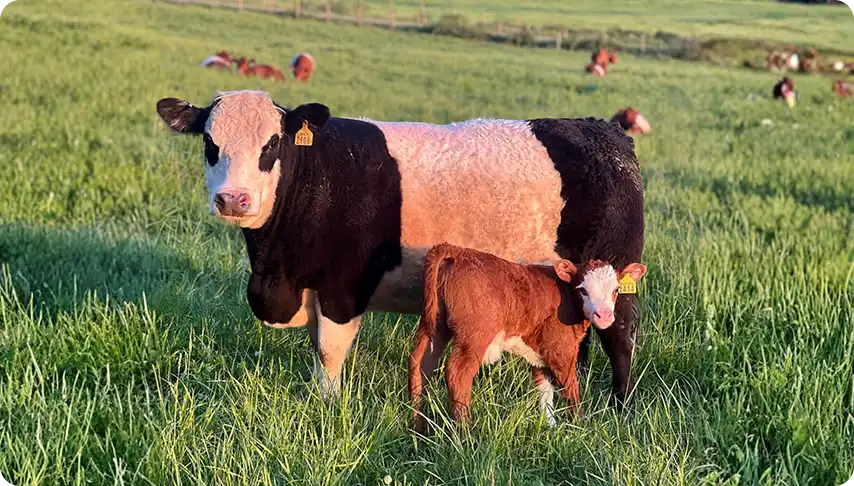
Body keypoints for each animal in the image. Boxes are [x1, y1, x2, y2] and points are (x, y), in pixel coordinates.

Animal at [154, 90, 645, 409]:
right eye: (210, 143)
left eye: (272, 143)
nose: (233, 199)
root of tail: (604, 131)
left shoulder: (343, 288)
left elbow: (329, 353)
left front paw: (327, 408)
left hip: (614, 279)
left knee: (620, 340)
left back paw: (617, 410)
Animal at [409, 243, 648, 432]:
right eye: (583, 290)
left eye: (616, 290)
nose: (604, 316)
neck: (565, 295)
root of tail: (458, 252)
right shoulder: (561, 351)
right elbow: (571, 388)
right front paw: (579, 426)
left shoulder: (540, 354)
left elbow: (544, 390)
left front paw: (550, 426)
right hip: (474, 337)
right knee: (458, 373)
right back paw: (464, 432)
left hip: (435, 326)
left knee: (420, 365)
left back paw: (418, 428)